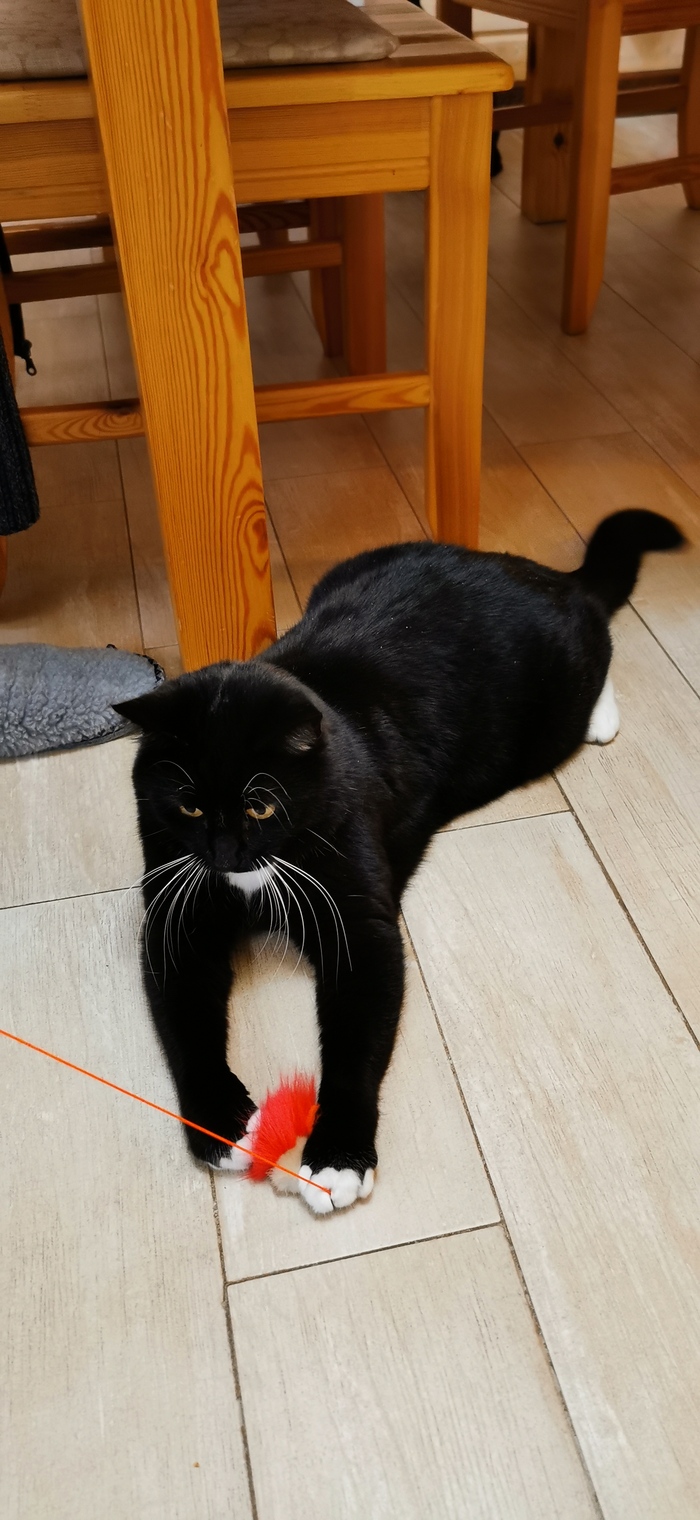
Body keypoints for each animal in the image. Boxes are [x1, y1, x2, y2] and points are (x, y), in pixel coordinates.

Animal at [116, 509, 683, 1214]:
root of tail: (545, 574)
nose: (224, 853)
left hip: (552, 699)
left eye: (261, 806)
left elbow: (356, 1039)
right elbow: (186, 1023)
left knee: (599, 640)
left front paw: (337, 1158)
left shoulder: (361, 926)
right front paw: (220, 1124)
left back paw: (602, 715)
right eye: (189, 806)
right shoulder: (177, 914)